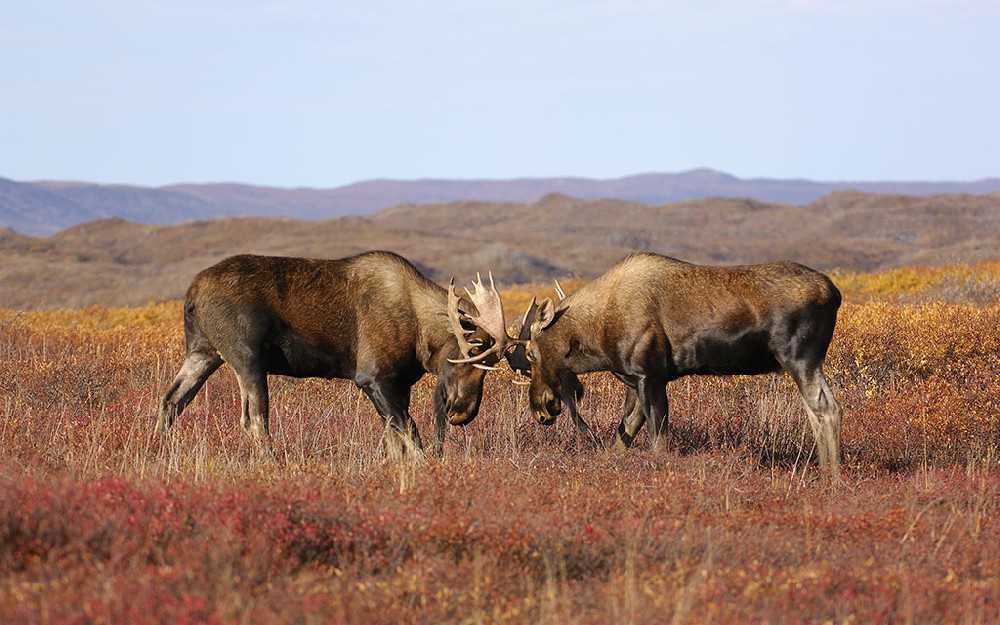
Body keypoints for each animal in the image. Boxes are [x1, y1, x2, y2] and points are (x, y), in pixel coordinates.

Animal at [160, 250, 504, 458]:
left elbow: (395, 439)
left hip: (203, 352)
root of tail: (192, 295)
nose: (463, 413)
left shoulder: (400, 383)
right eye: (473, 356)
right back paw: (272, 463)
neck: (421, 333)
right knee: (254, 419)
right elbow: (411, 434)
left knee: (171, 401)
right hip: (247, 359)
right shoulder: (372, 377)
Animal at [460, 251, 844, 480]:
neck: (597, 336)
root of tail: (835, 293)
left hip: (800, 356)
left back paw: (834, 476)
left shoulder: (650, 375)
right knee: (816, 410)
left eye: (533, 355)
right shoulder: (633, 380)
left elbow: (658, 439)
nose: (541, 409)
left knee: (828, 407)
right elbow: (623, 435)